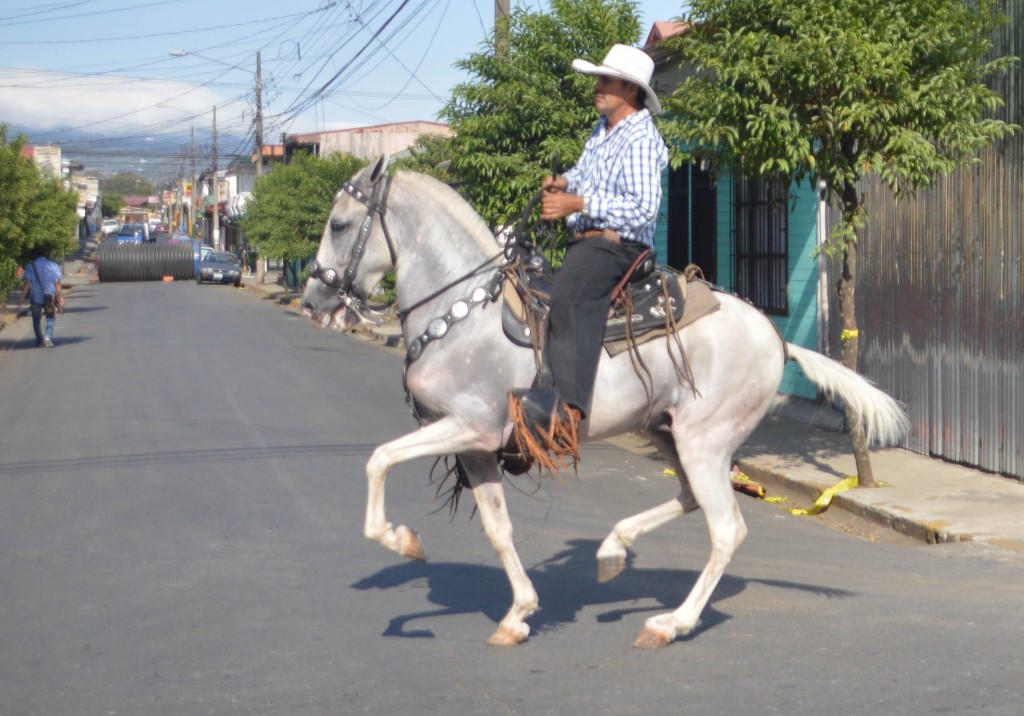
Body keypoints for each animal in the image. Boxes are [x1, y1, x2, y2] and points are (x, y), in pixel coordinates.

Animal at [299, 157, 909, 651]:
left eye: (339, 225)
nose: (313, 301)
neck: (464, 312)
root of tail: (776, 339)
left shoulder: (470, 427)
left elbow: (378, 459)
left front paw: (401, 540)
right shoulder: (478, 449)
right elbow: (498, 529)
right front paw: (518, 613)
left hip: (705, 441)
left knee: (725, 529)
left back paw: (670, 623)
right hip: (671, 432)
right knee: (691, 498)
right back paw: (615, 549)